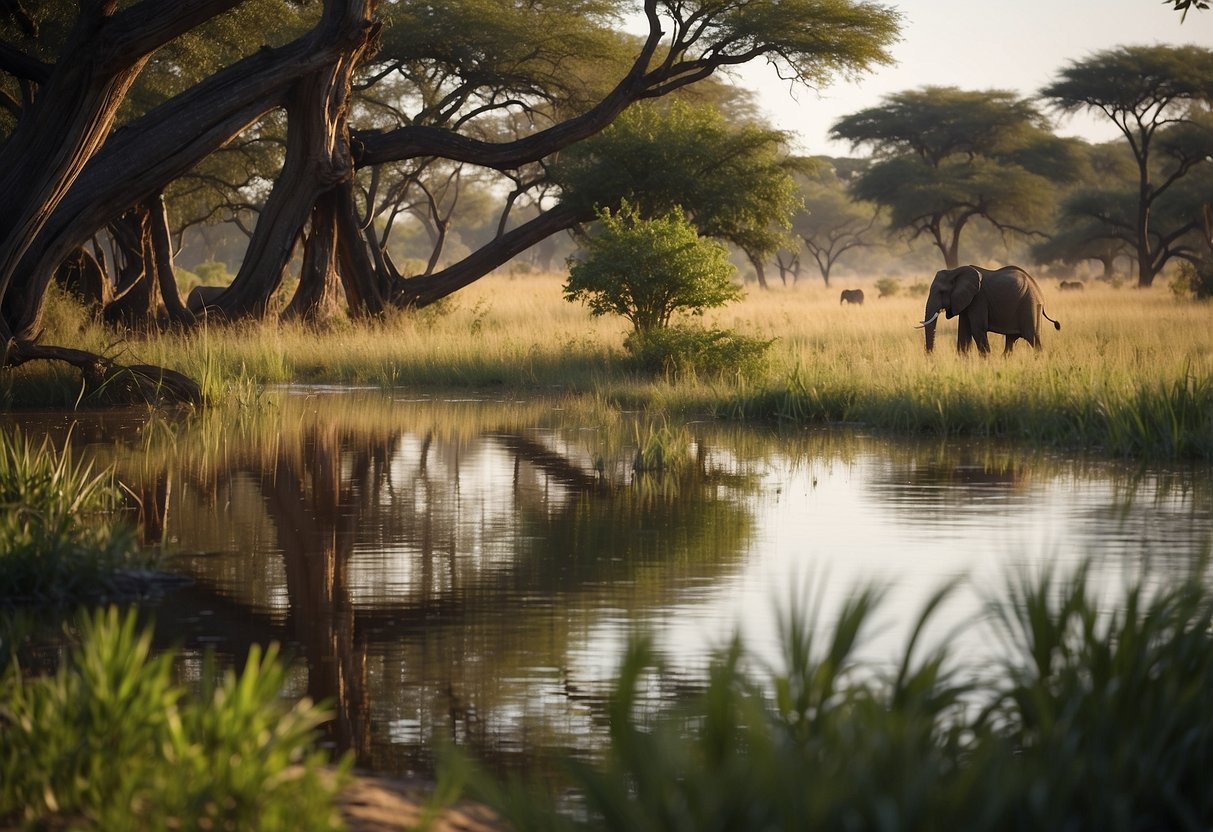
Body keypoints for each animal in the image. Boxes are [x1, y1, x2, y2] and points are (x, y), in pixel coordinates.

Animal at [917, 265, 1062, 354]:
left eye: (941, 292)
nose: (931, 357)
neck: (954, 271)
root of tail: (1040, 293)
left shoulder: (978, 299)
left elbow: (977, 329)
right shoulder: (966, 301)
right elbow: (964, 332)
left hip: (1030, 306)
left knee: (1033, 339)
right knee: (1010, 341)